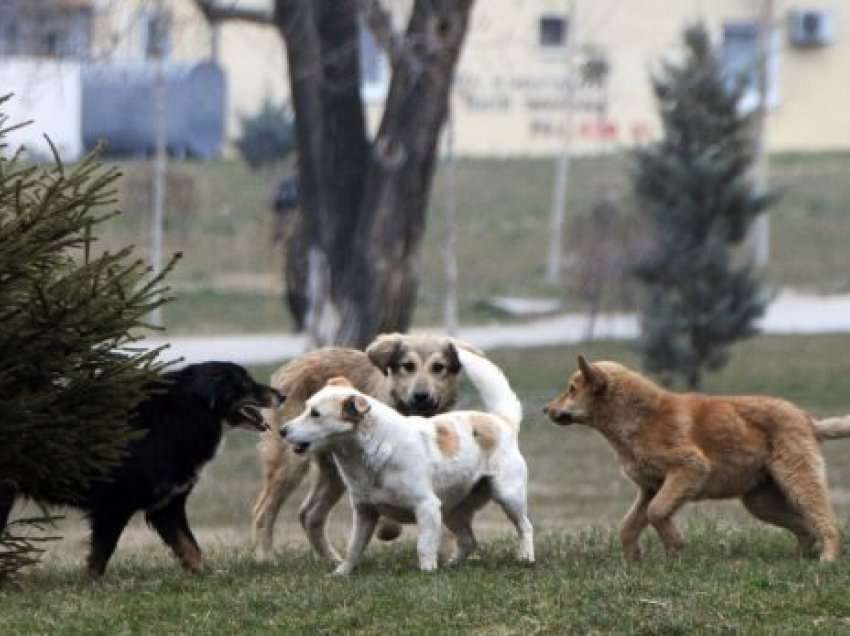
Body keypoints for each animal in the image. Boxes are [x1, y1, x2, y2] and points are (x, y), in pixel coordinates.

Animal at [57, 362, 282, 576]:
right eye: (245, 383)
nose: (282, 396)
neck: (182, 415)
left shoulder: (166, 506)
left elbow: (190, 548)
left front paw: (205, 576)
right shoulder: (113, 506)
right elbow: (100, 557)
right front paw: (93, 583)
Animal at [252, 332, 476, 560]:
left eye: (438, 367)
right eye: (408, 366)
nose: (421, 396)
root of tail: (294, 363)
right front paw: (388, 528)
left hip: (334, 473)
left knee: (309, 514)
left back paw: (332, 559)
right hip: (290, 464)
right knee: (264, 510)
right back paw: (266, 557)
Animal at [280, 350, 528, 572]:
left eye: (315, 414)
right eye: (306, 408)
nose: (282, 430)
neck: (372, 453)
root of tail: (502, 421)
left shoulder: (427, 507)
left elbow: (424, 547)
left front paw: (427, 573)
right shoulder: (364, 513)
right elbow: (354, 548)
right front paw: (341, 573)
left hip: (507, 496)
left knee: (524, 526)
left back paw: (526, 557)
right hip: (452, 510)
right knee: (469, 541)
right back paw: (453, 565)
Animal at [544, 356, 848, 564]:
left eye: (571, 389)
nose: (545, 409)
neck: (638, 418)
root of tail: (809, 420)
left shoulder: (689, 468)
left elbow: (656, 512)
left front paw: (675, 548)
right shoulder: (650, 488)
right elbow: (628, 526)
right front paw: (634, 561)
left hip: (798, 480)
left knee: (826, 522)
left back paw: (827, 558)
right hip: (760, 502)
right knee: (806, 528)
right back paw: (799, 557)